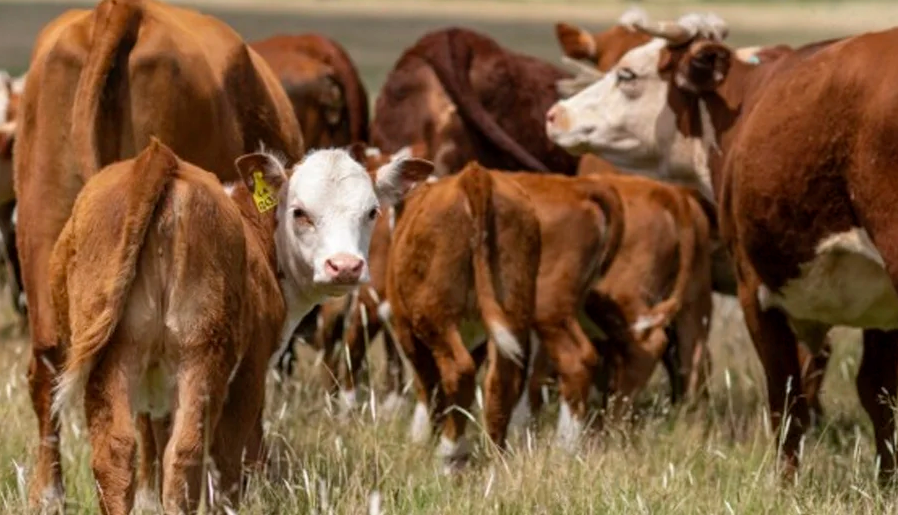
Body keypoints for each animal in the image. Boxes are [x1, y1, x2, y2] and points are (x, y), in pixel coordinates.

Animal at [49, 140, 433, 513]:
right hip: (203, 357)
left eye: (371, 212)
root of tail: (161, 160)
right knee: (189, 453)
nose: (345, 266)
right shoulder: (250, 372)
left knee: (117, 452)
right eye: (300, 212)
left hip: (113, 356)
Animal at [544, 15, 891, 482]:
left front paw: (786, 486)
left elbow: (786, 400)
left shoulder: (756, 292)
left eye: (627, 75)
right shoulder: (879, 307)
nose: (555, 115)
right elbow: (877, 396)